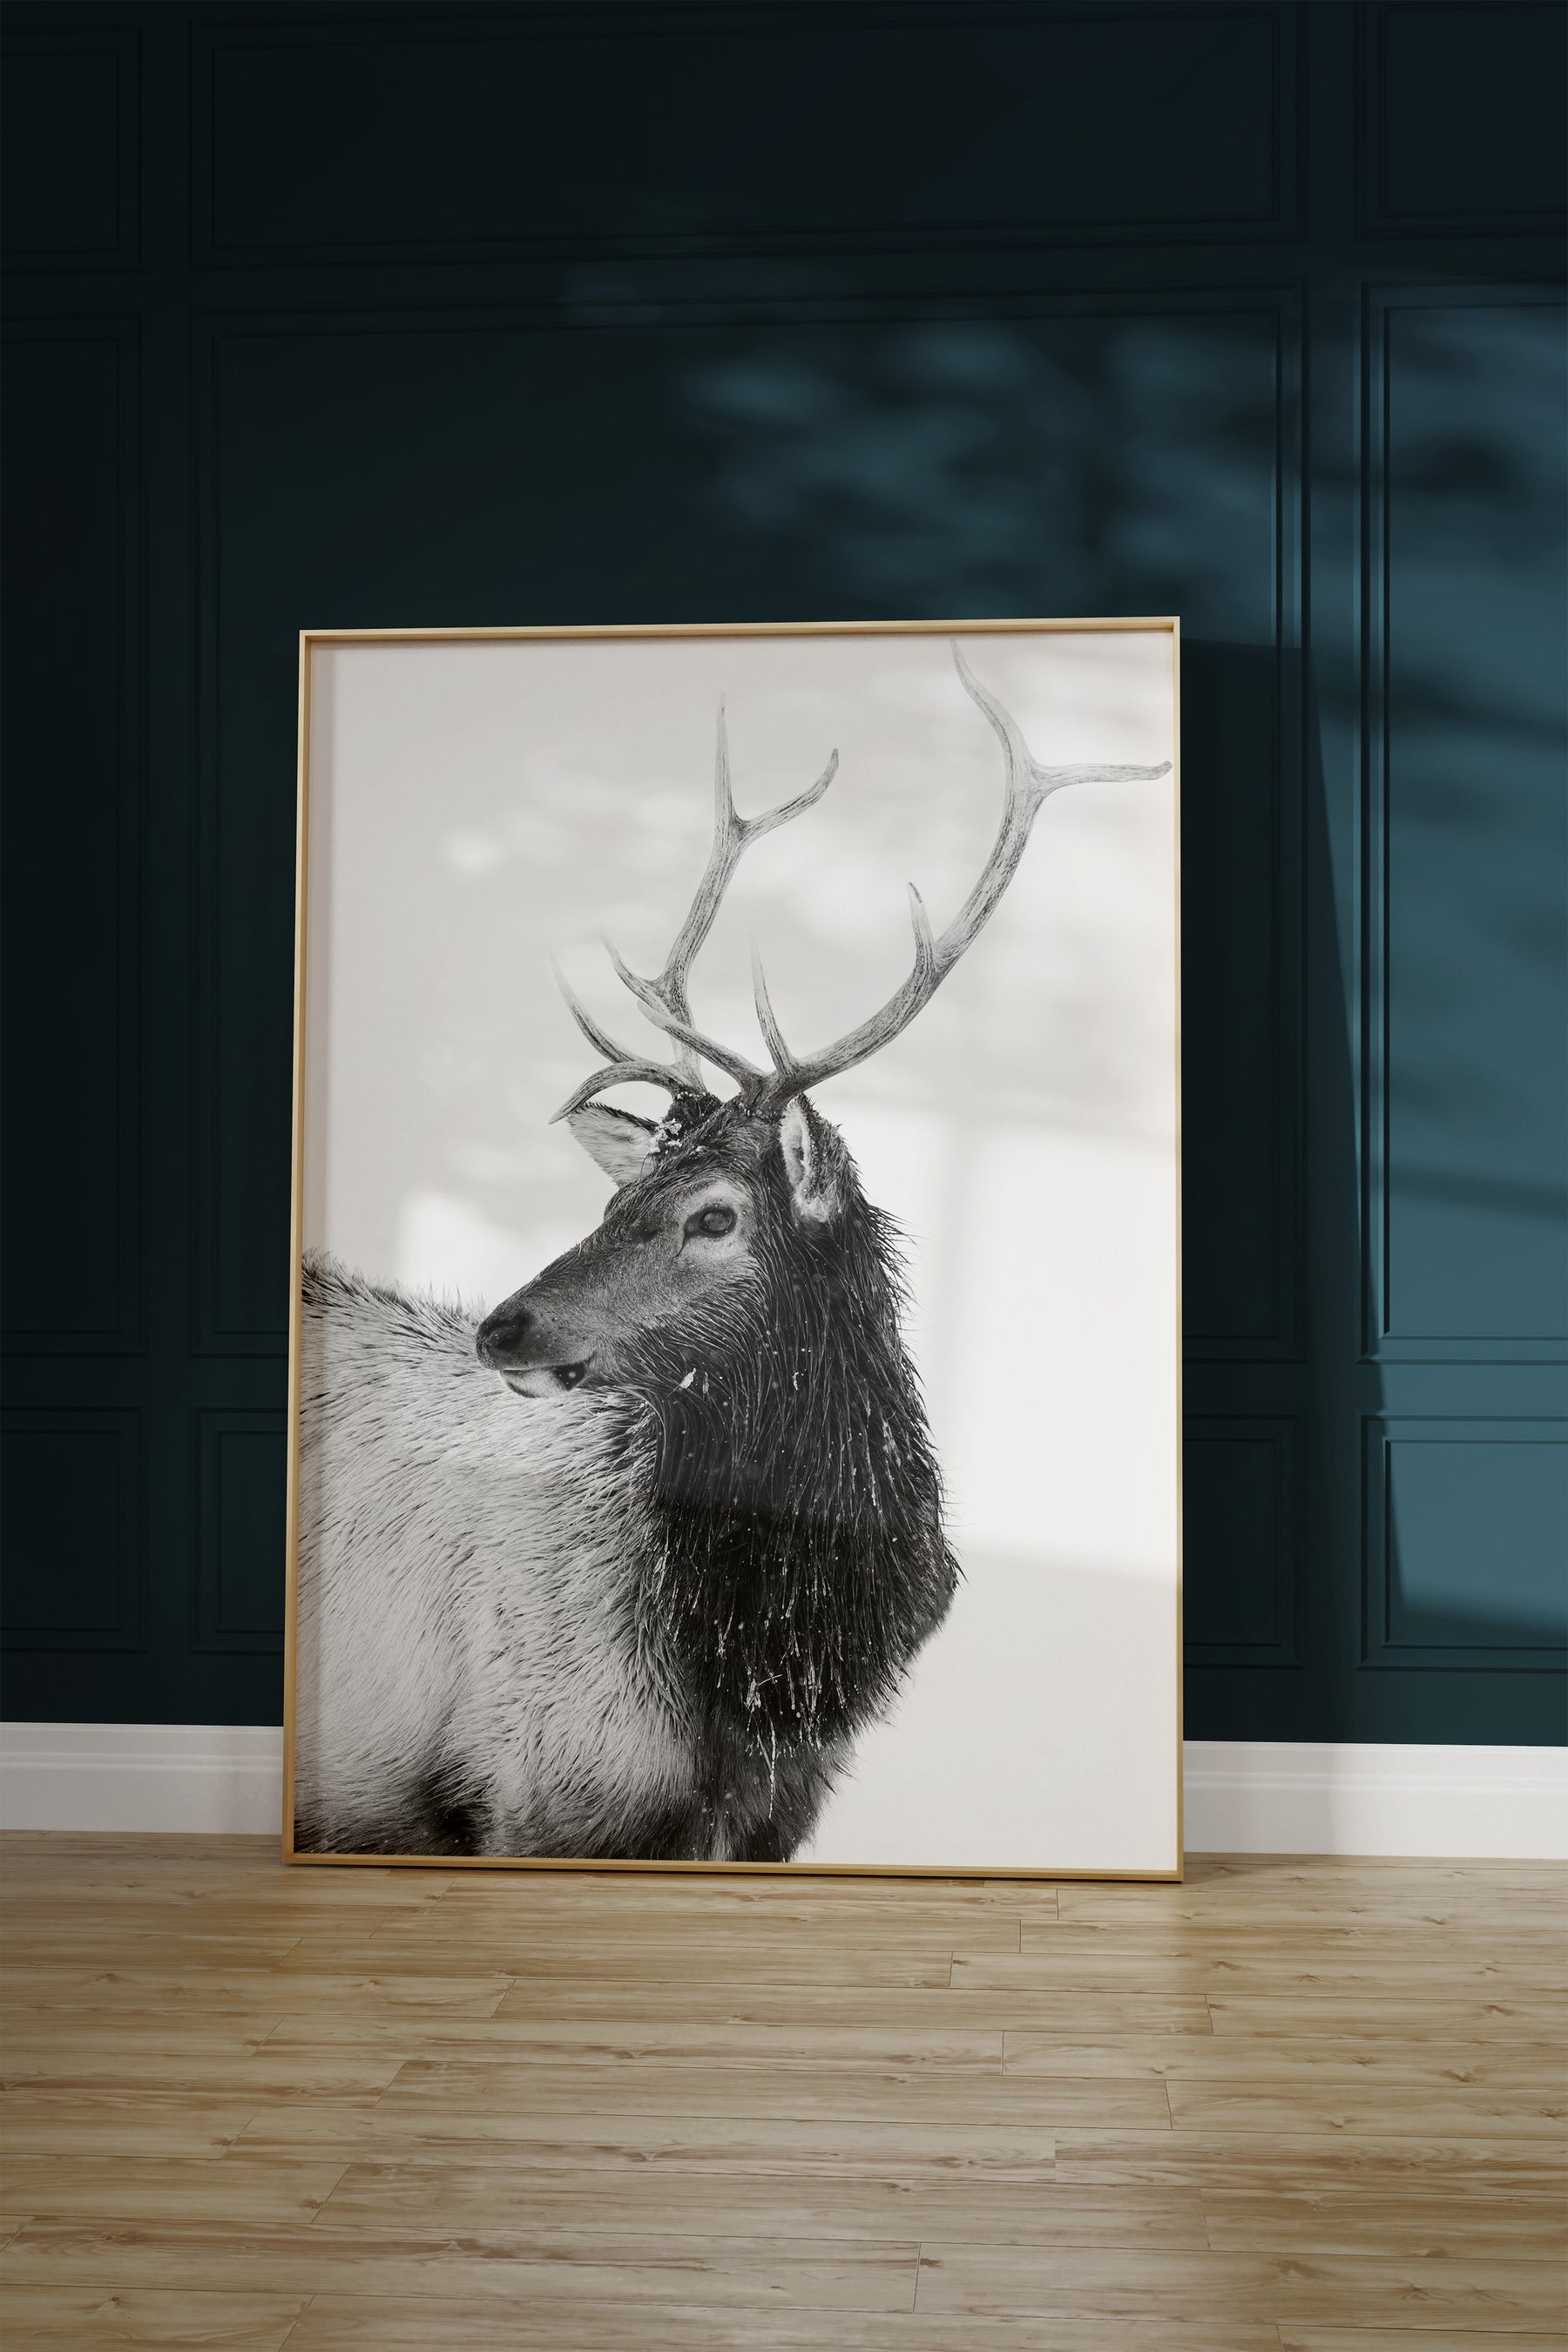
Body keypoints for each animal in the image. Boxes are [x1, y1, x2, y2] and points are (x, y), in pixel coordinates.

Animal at [292, 642, 1170, 1862]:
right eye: (619, 1194)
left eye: (714, 1216)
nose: (502, 1326)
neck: (762, 1674)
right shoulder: (532, 1791)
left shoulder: (772, 1815)